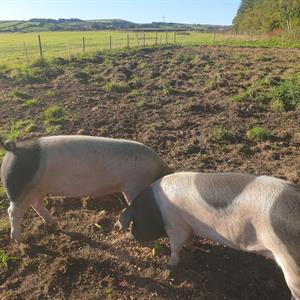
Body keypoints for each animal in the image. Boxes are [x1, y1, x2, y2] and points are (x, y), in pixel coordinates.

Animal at [0, 135, 172, 243]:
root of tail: (13, 149)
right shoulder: (132, 186)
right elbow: (131, 203)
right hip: (19, 190)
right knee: (13, 211)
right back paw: (18, 240)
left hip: (37, 189)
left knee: (35, 204)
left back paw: (54, 223)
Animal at [116, 171, 300, 300]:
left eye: (134, 223)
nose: (129, 235)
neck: (156, 209)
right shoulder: (188, 226)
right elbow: (188, 241)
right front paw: (192, 247)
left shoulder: (176, 226)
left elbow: (175, 245)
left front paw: (170, 264)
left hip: (291, 262)